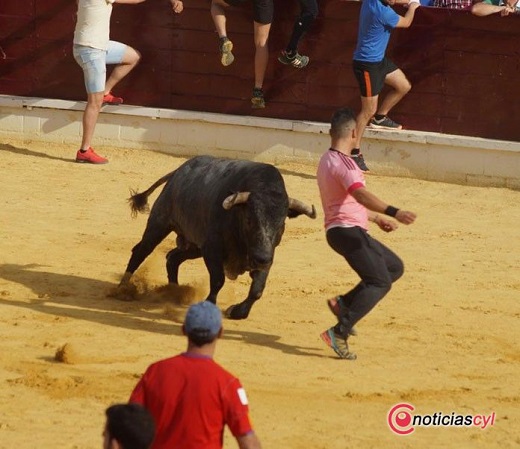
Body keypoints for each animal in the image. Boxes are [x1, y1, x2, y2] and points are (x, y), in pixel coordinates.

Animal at [120, 156, 316, 320]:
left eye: (281, 224)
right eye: (249, 220)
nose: (261, 259)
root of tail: (178, 172)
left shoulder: (265, 254)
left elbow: (257, 290)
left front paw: (236, 311)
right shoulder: (213, 249)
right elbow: (218, 280)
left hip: (194, 247)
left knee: (172, 258)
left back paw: (175, 292)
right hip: (160, 223)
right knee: (141, 251)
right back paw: (123, 288)